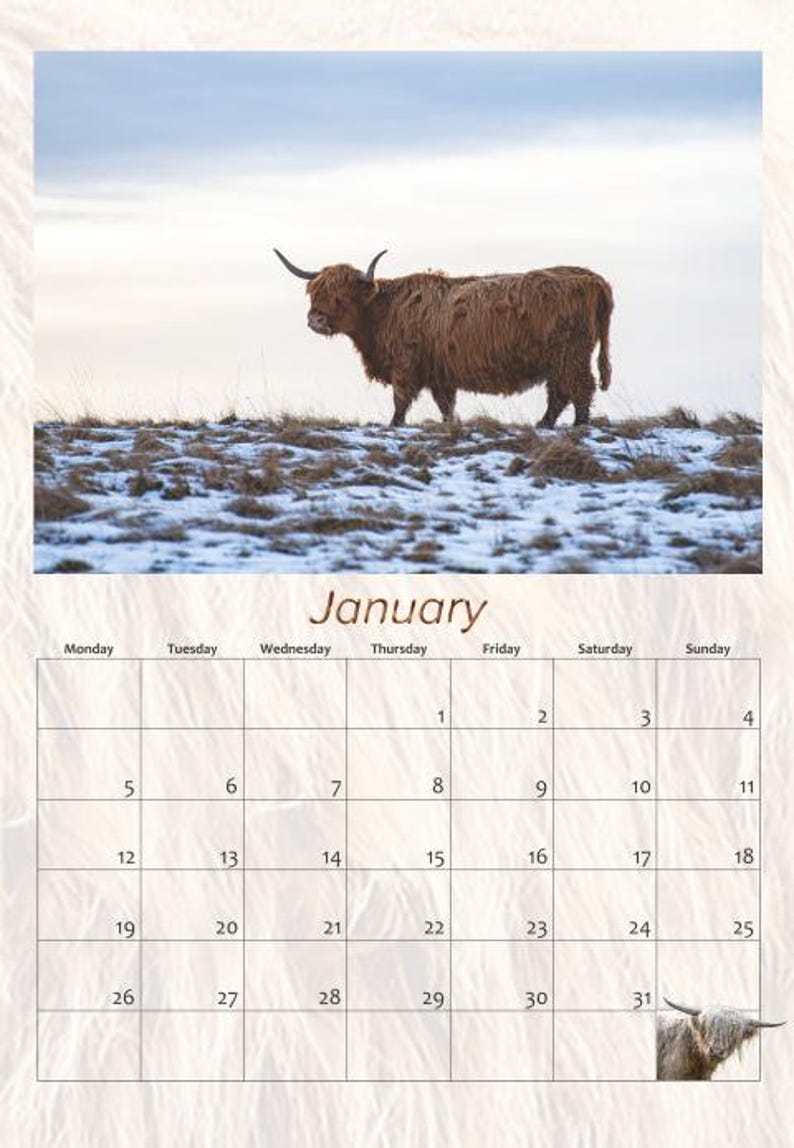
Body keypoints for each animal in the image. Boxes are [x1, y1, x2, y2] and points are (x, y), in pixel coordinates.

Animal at [274, 249, 613, 429]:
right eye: (315, 291)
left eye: (341, 296)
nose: (315, 320)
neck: (383, 311)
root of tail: (593, 278)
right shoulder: (440, 374)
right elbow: (445, 406)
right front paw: (450, 425)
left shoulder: (406, 365)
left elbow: (400, 401)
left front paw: (394, 425)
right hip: (558, 360)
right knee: (559, 394)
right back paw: (543, 425)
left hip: (570, 354)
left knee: (580, 389)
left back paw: (578, 426)